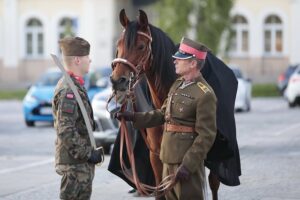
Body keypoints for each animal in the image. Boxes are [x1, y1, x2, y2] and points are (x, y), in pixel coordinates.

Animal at [109, 8, 240, 199]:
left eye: (141, 46)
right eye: (118, 45)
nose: (117, 81)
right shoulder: (157, 156)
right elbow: (161, 191)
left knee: (214, 183)